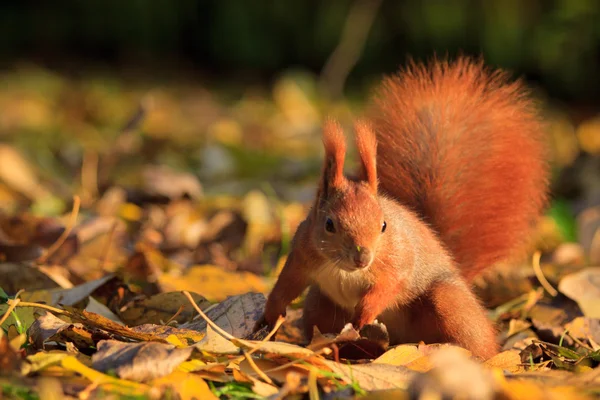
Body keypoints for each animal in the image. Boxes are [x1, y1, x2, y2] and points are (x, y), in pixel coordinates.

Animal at [256, 55, 548, 360]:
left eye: (384, 225)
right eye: (329, 224)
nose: (363, 257)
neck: (347, 271)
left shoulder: (399, 259)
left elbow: (392, 284)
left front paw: (364, 312)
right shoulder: (303, 251)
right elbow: (287, 283)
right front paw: (269, 317)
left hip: (449, 302)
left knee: (475, 339)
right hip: (319, 305)